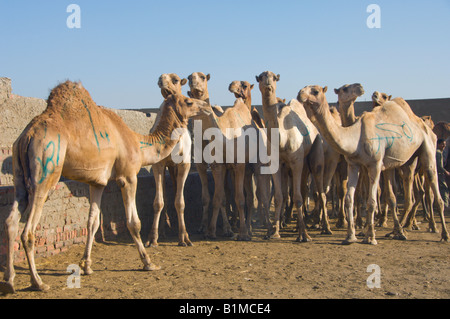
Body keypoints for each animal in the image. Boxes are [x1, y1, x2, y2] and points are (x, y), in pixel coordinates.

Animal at [145, 74, 192, 249]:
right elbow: (158, 202)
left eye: (176, 80)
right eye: (161, 77)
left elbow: (180, 202)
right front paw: (152, 238)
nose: (161, 80)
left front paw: (184, 237)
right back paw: (163, 231)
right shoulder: (158, 164)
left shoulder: (184, 164)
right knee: (164, 193)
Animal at [256, 72, 330, 242]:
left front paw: (304, 236)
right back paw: (297, 226)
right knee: (303, 190)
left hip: (316, 153)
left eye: (274, 77)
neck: (282, 138)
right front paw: (275, 232)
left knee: (320, 192)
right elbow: (279, 196)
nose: (268, 83)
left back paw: (326, 228)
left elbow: (297, 197)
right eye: (261, 77)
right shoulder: (276, 163)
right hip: (300, 167)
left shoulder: (296, 162)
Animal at [298, 85, 450, 245]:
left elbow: (371, 200)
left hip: (428, 150)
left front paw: (370, 236)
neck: (354, 136)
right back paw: (398, 231)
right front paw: (350, 236)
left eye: (315, 91)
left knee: (433, 190)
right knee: (407, 194)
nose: (300, 94)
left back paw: (441, 233)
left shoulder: (375, 165)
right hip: (408, 162)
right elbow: (349, 198)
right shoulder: (353, 164)